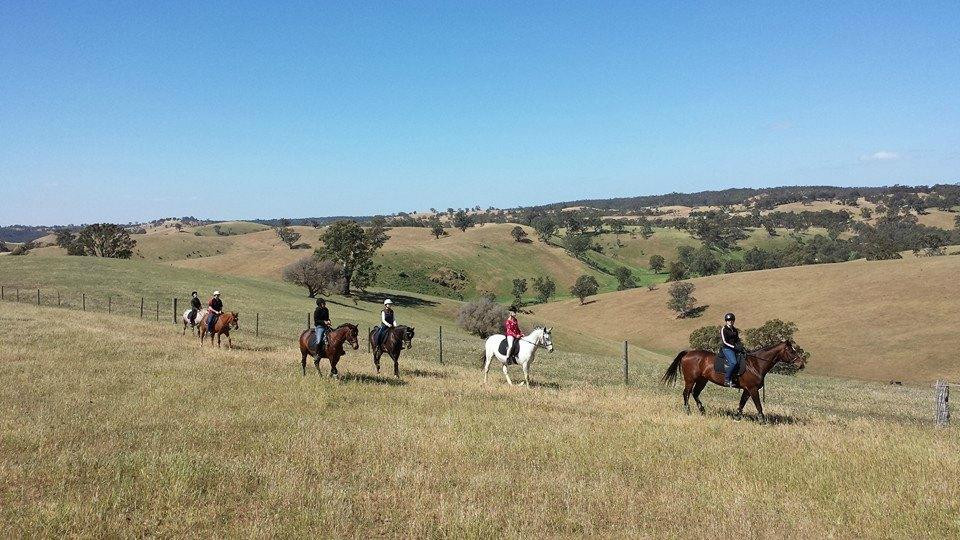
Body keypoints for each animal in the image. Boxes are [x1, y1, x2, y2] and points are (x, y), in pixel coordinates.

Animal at [660, 342, 804, 422]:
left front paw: (737, 417)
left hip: (702, 380)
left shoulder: (747, 389)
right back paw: (688, 411)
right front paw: (763, 420)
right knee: (686, 393)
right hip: (690, 380)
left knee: (695, 394)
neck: (756, 364)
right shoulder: (752, 389)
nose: (801, 364)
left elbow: (742, 403)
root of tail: (688, 353)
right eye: (791, 351)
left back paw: (702, 410)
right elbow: (758, 405)